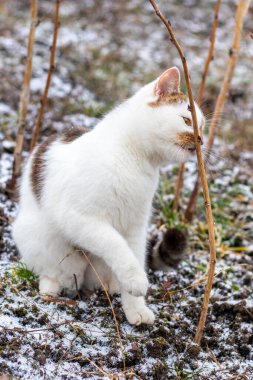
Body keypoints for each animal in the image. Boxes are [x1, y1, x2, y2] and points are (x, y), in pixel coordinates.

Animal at [12, 67, 206, 326]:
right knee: (55, 271)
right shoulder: (79, 218)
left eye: (202, 127)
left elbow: (132, 254)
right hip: (46, 242)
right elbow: (115, 244)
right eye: (186, 120)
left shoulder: (136, 227)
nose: (201, 140)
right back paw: (51, 287)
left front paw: (135, 308)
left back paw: (113, 286)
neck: (137, 161)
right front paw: (136, 280)